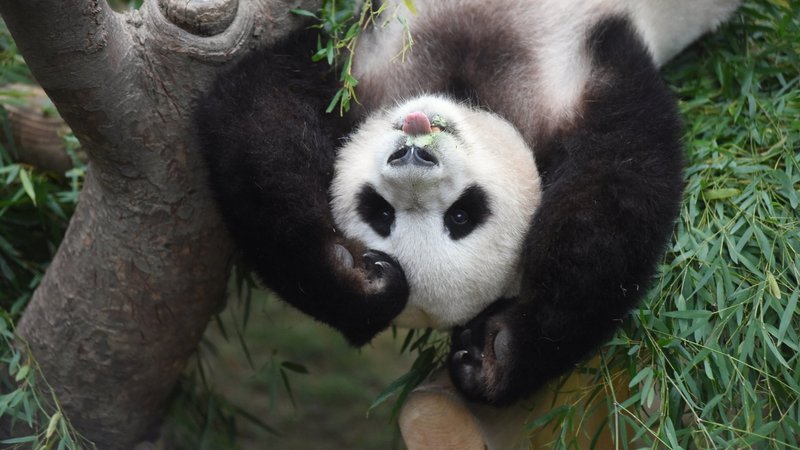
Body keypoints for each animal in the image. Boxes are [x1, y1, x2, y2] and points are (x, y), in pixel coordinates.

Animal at [195, 0, 740, 405]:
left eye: (461, 215)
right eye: (379, 212)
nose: (413, 153)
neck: (468, 85)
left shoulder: (582, 75)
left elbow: (616, 194)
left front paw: (497, 354)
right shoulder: (362, 70)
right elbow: (259, 119)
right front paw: (358, 279)